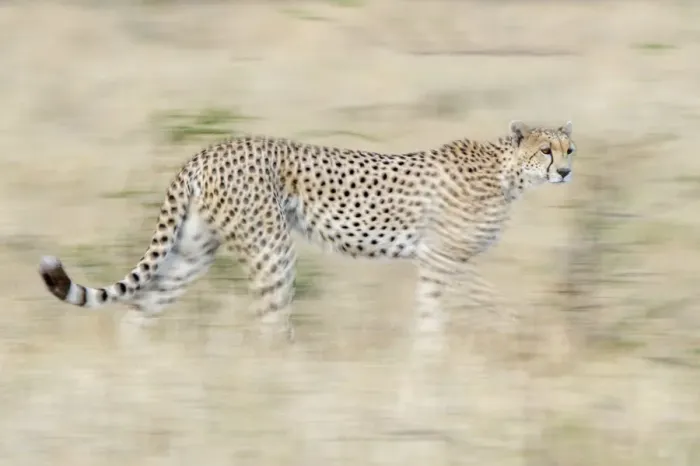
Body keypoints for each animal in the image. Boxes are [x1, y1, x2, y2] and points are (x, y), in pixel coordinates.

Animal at [38, 120, 576, 340]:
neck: (508, 172)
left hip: (193, 251)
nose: (568, 171)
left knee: (140, 308)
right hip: (271, 249)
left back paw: (137, 373)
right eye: (545, 150)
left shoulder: (436, 260)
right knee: (270, 321)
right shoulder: (446, 256)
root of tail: (209, 150)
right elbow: (485, 300)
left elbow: (431, 314)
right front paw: (519, 330)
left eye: (568, 149)